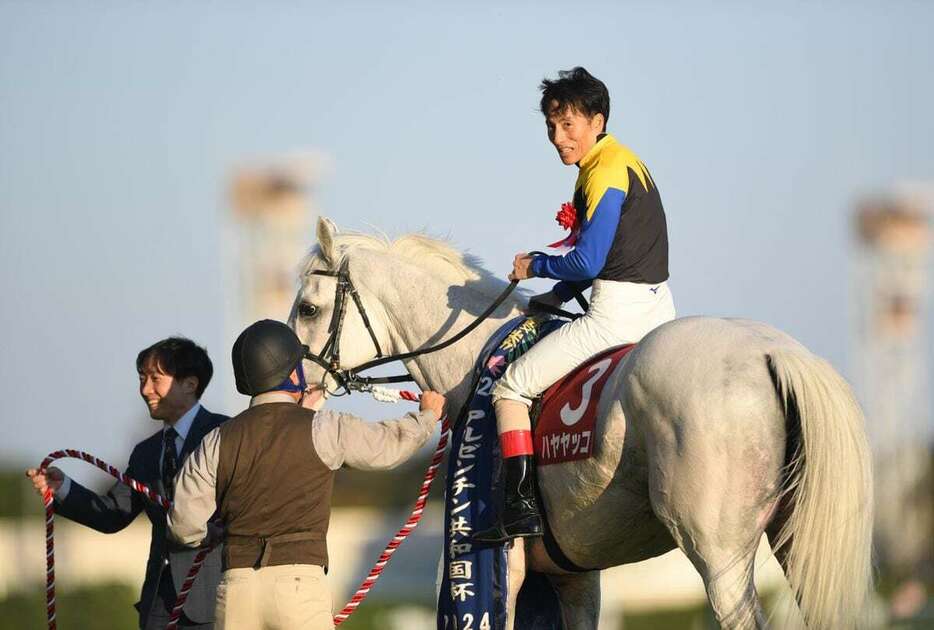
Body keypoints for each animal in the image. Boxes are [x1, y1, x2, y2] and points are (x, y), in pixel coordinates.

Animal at [294, 218, 876, 630]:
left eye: (307, 308)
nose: (296, 380)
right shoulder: (575, 579)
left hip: (720, 557)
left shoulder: (507, 566)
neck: (478, 358)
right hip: (796, 546)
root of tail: (774, 351)